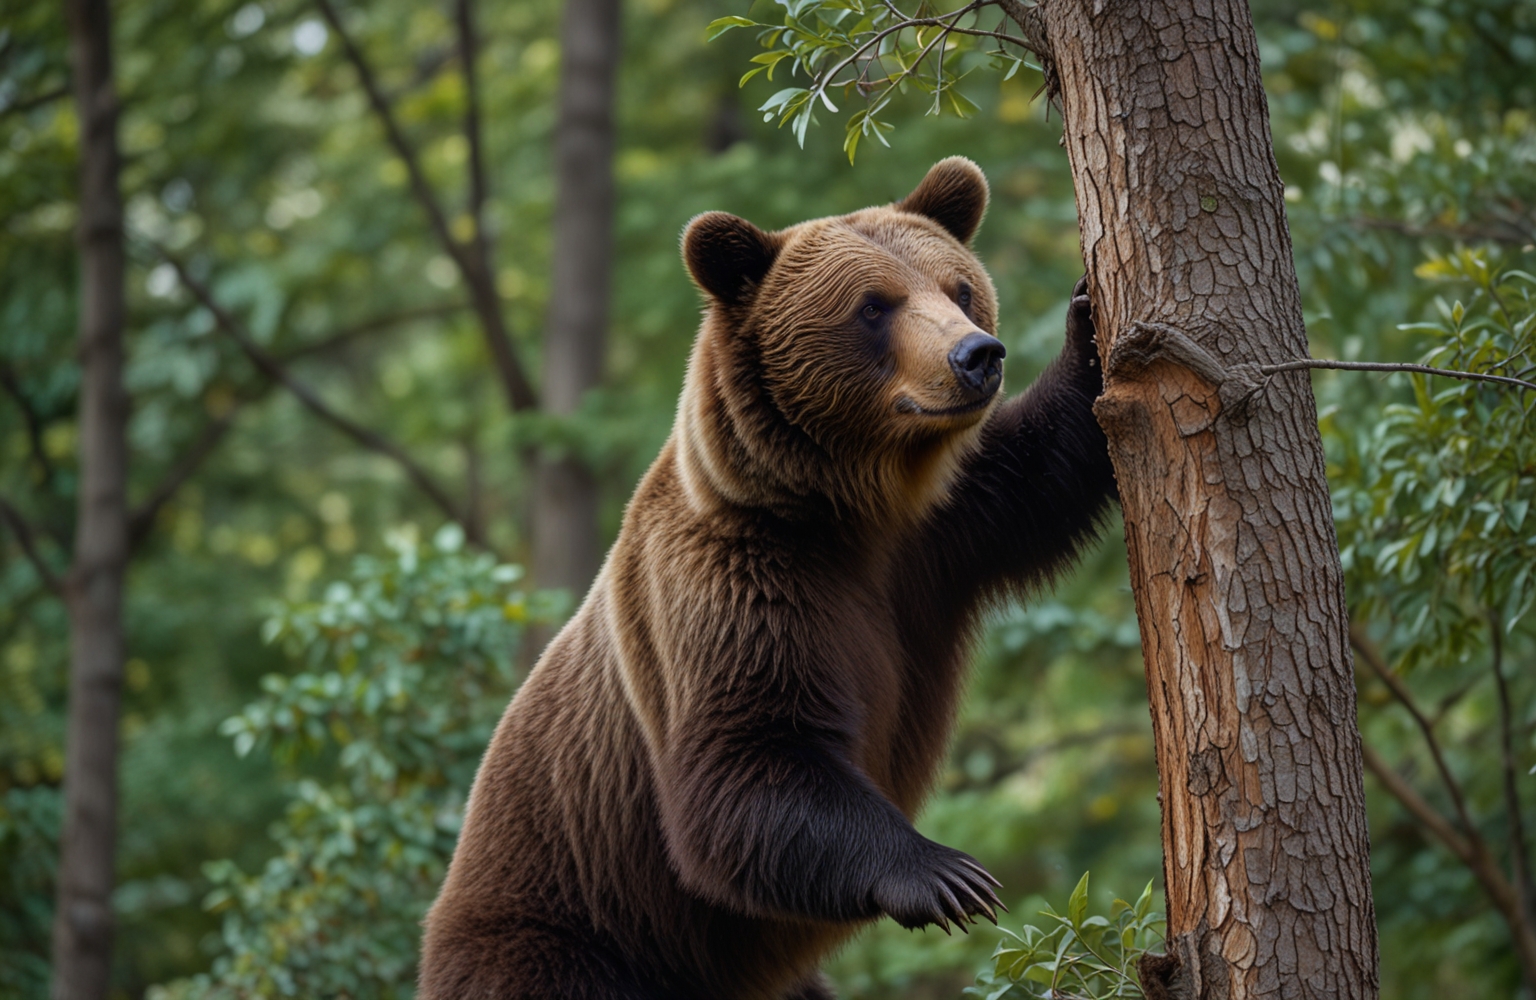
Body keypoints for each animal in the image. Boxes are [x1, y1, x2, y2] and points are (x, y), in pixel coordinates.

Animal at [419, 157, 1118, 999]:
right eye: (874, 306)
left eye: (959, 289)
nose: (977, 355)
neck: (841, 509)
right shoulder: (733, 587)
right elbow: (747, 764)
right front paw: (947, 874)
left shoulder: (944, 531)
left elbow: (1044, 468)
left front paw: (1091, 324)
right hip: (563, 934)